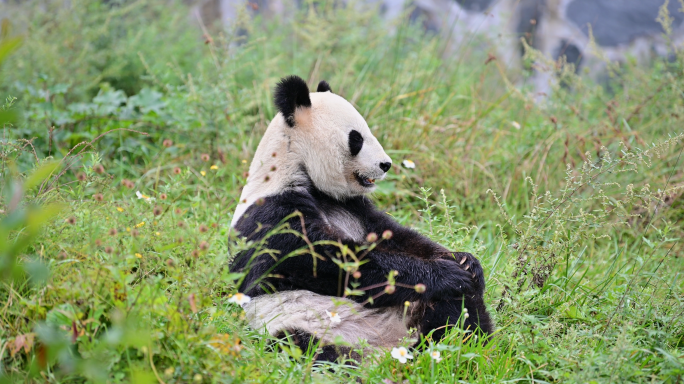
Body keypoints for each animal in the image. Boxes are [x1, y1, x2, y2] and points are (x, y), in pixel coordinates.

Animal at [231, 75, 492, 360]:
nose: (386, 164)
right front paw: (448, 273)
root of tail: (390, 349)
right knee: (307, 349)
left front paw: (464, 261)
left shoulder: (353, 207)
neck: (295, 168)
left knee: (457, 309)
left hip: (411, 311)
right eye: (356, 138)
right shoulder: (273, 212)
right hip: (300, 326)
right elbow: (328, 261)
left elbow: (396, 237)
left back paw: (470, 343)